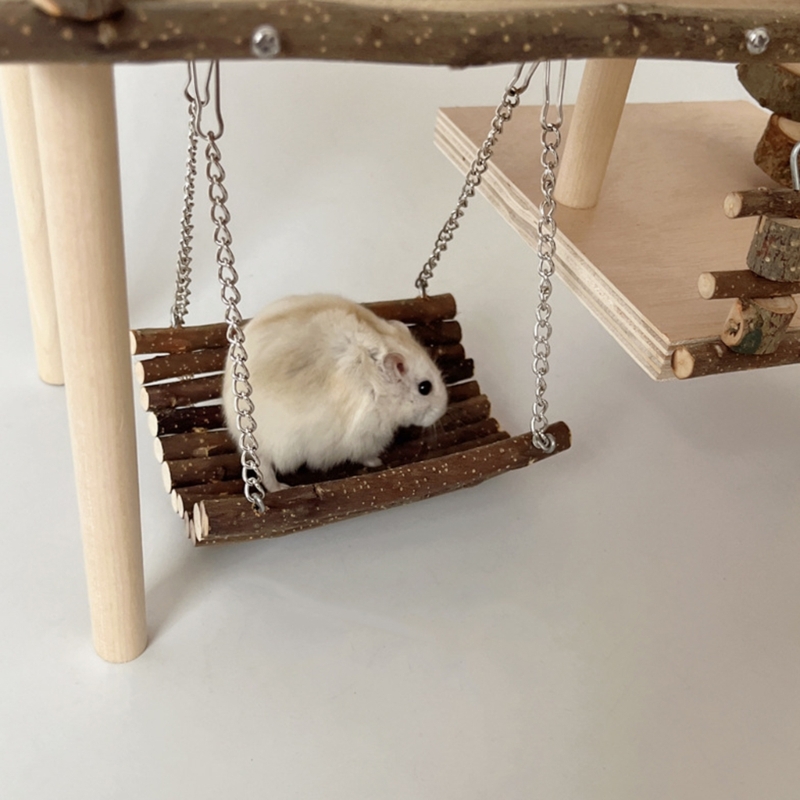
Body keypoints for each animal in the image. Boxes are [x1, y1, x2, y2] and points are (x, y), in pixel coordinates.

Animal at [222, 294, 448, 491]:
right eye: (425, 388)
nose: (443, 410)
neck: (376, 383)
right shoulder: (365, 436)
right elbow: (365, 455)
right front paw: (377, 462)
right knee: (264, 467)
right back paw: (281, 488)